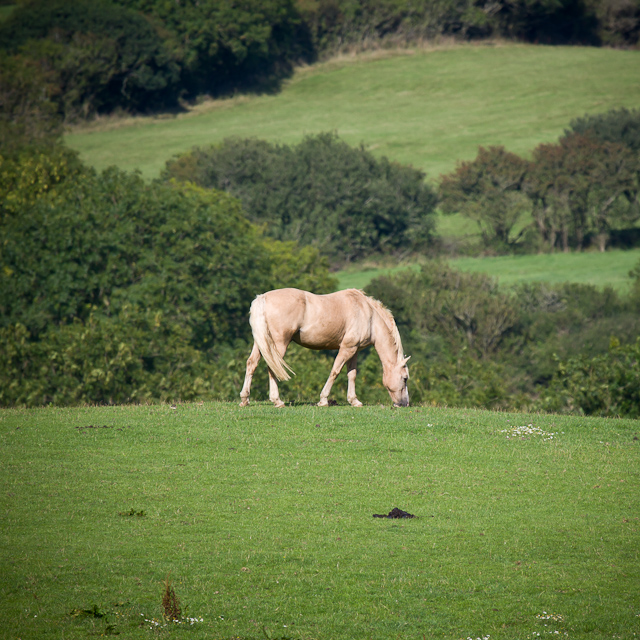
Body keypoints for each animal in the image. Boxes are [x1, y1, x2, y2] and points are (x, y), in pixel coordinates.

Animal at [239, 288, 410, 408]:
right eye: (405, 378)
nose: (405, 403)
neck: (368, 315)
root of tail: (262, 298)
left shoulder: (354, 350)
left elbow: (352, 374)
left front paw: (354, 401)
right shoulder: (346, 348)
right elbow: (335, 371)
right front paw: (323, 400)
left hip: (261, 343)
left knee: (251, 363)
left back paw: (245, 399)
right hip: (278, 344)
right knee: (272, 367)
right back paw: (277, 401)